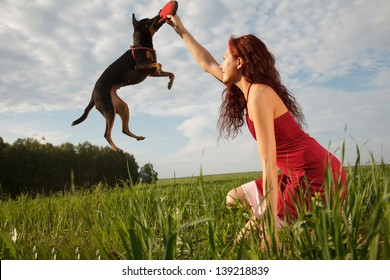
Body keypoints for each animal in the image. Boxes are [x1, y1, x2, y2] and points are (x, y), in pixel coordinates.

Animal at [71, 12, 174, 152]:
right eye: (149, 21)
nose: (159, 14)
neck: (141, 45)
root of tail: (93, 96)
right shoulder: (140, 66)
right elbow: (159, 64)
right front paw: (162, 71)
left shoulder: (150, 73)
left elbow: (170, 73)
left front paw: (170, 83)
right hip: (109, 110)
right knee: (106, 134)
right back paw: (116, 149)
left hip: (122, 107)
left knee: (124, 129)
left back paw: (137, 137)